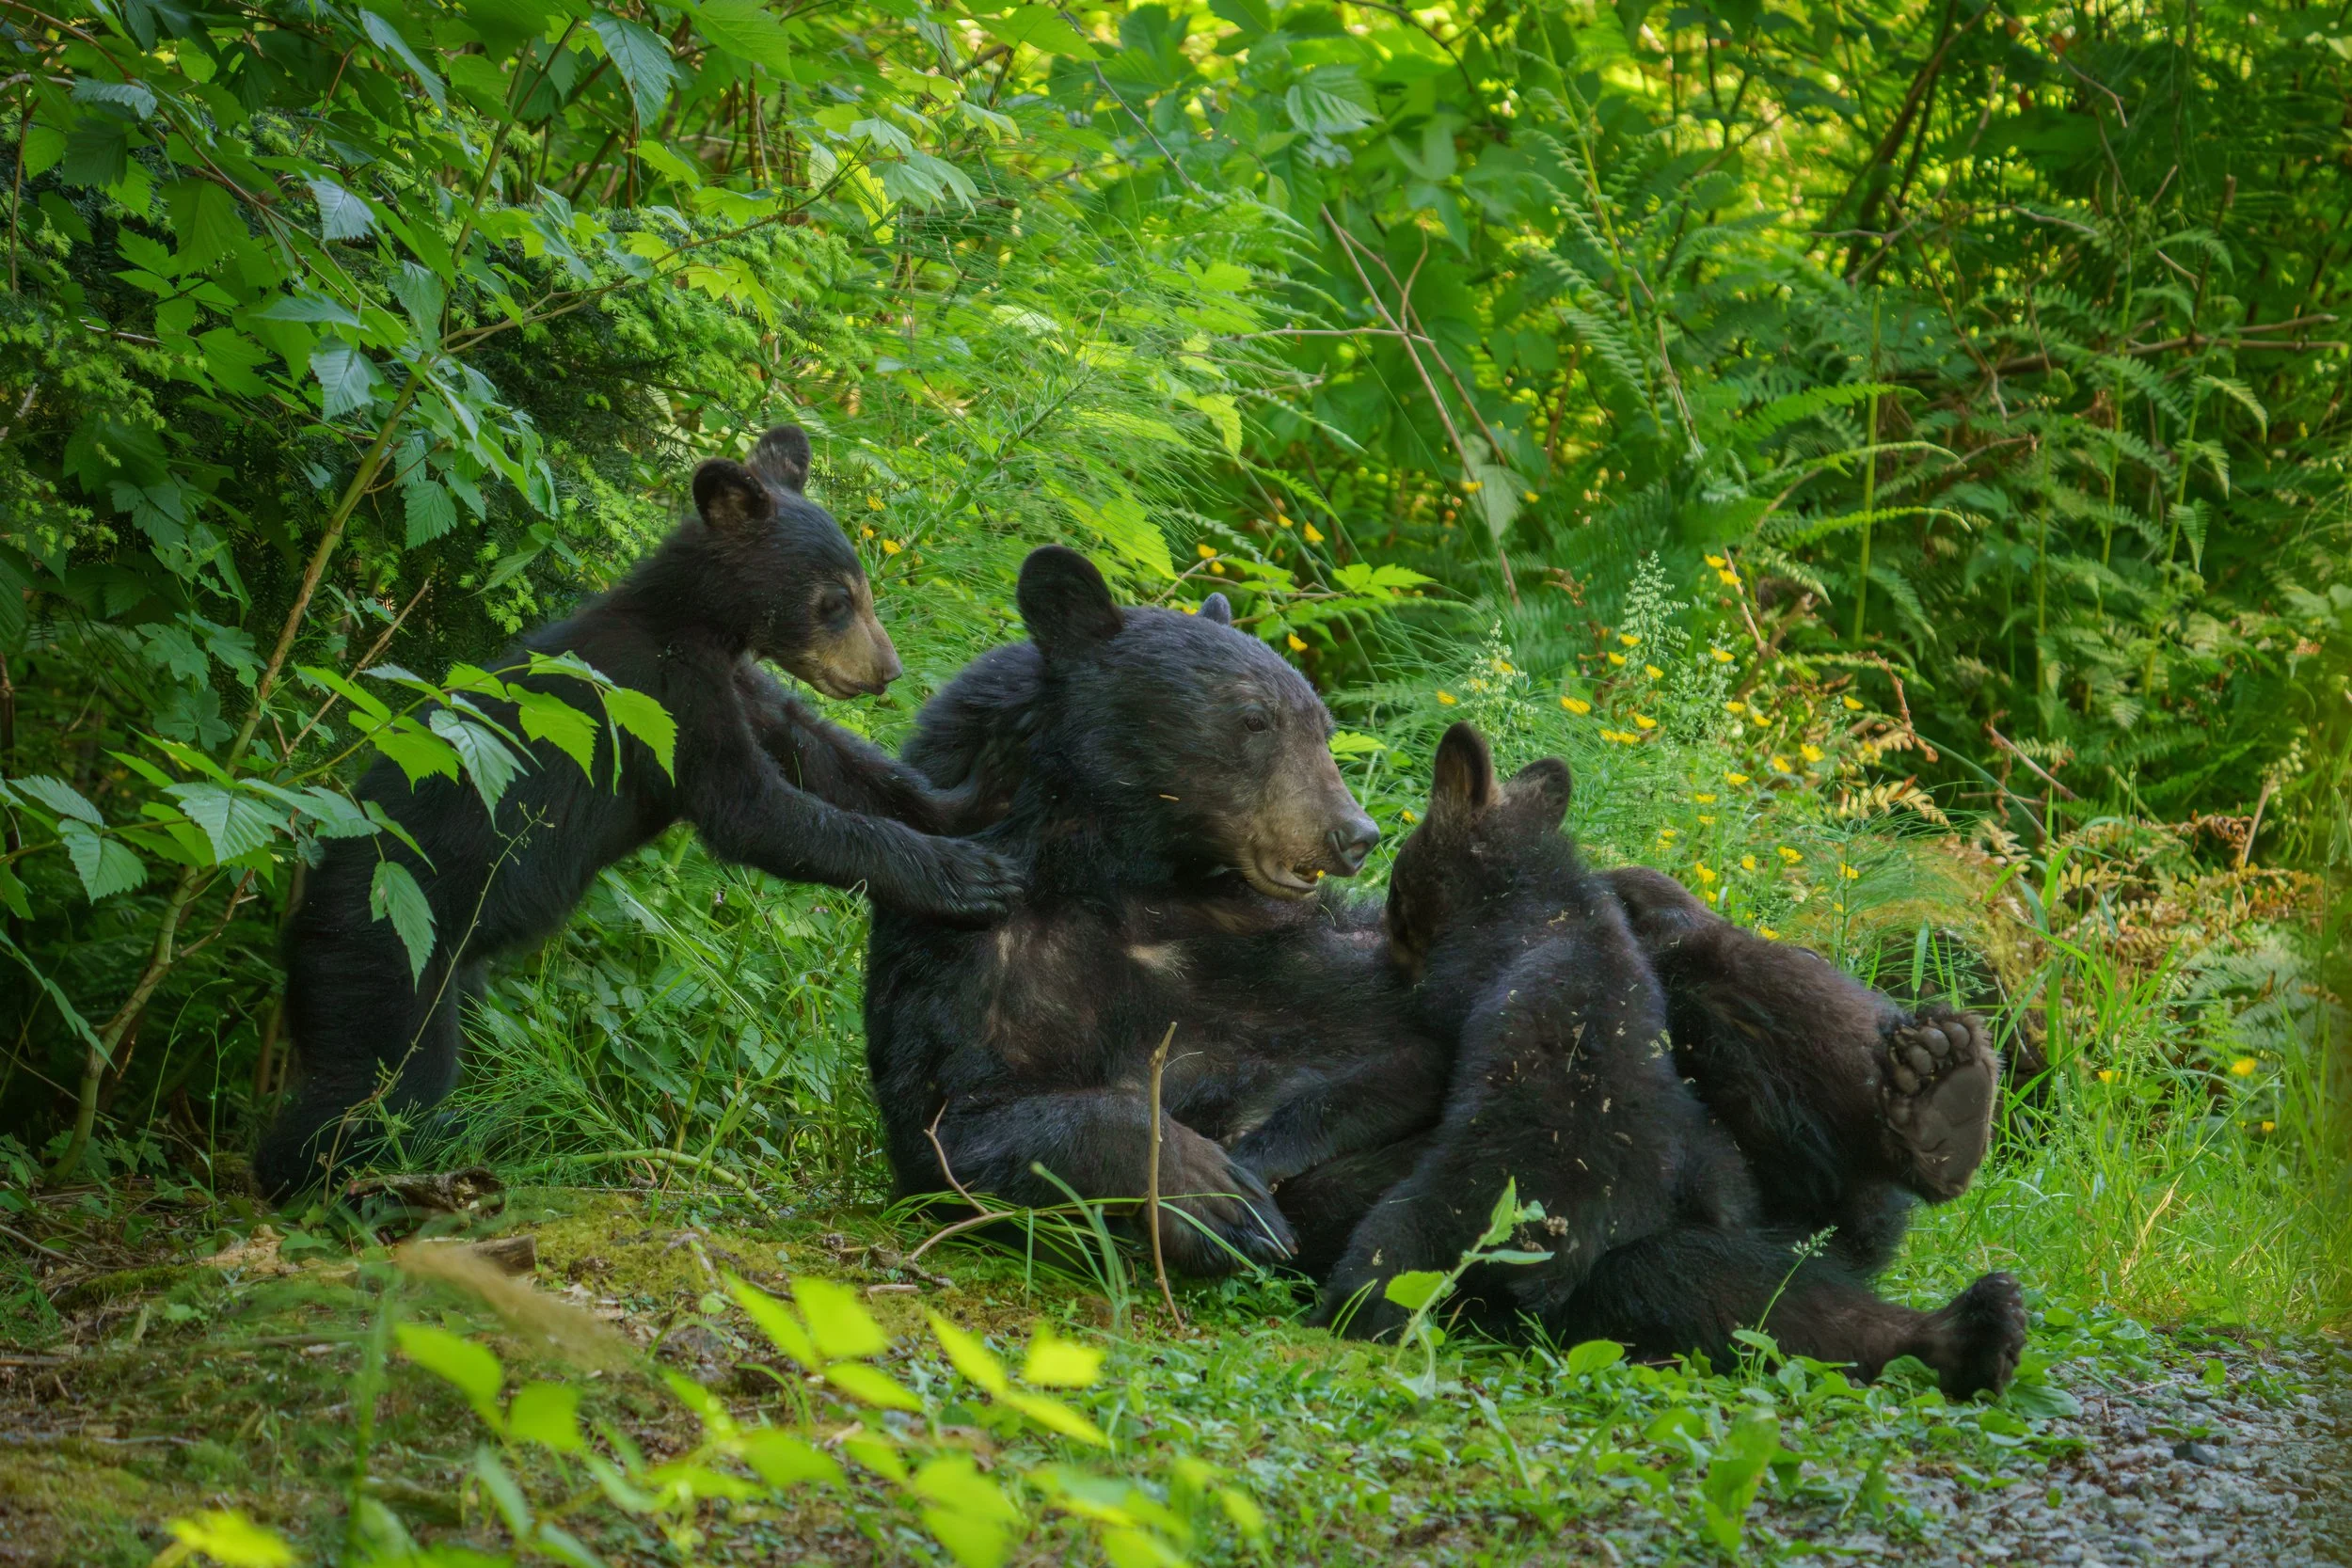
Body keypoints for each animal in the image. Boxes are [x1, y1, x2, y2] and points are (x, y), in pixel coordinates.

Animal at [257, 426, 1021, 1199]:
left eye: (859, 588)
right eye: (836, 600)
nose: (887, 671)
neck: (689, 623)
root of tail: (304, 900)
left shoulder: (737, 687)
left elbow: (829, 756)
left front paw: (978, 793)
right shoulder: (663, 700)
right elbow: (759, 812)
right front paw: (962, 876)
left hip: (452, 969)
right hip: (388, 950)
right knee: (377, 1085)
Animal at [863, 546, 1458, 1275]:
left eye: (1324, 727)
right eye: (1255, 718)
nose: (1355, 834)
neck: (1117, 873)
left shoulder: (1266, 946)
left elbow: (1406, 1039)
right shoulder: (969, 950)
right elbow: (954, 1126)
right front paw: (1209, 1190)